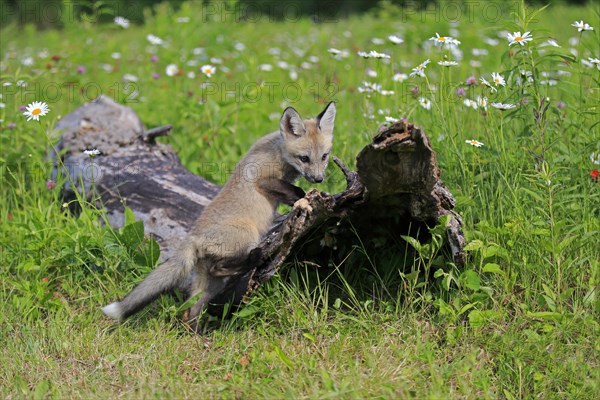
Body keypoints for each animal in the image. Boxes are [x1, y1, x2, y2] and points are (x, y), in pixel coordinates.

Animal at [101, 101, 336, 330]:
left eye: (324, 157)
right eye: (304, 158)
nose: (319, 179)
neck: (278, 152)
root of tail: (192, 236)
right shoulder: (263, 179)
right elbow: (295, 191)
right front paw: (304, 200)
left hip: (208, 286)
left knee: (191, 312)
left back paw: (198, 335)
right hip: (247, 237)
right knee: (219, 268)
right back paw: (253, 259)